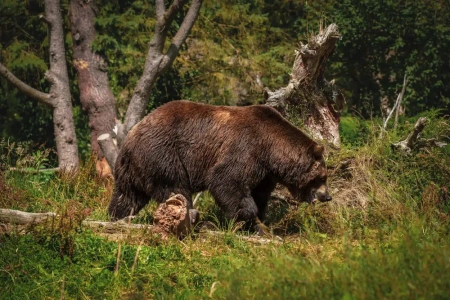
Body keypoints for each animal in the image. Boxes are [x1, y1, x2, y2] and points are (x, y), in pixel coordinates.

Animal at [108, 99, 330, 233]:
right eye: (322, 177)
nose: (327, 196)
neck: (272, 149)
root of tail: (130, 136)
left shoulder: (265, 173)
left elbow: (259, 194)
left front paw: (258, 223)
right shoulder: (247, 147)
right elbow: (226, 180)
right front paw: (246, 218)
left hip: (133, 168)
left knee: (127, 196)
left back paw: (116, 216)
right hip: (163, 154)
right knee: (175, 188)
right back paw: (192, 216)